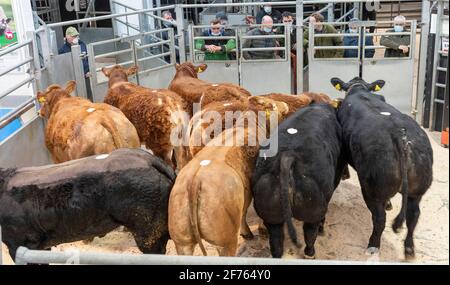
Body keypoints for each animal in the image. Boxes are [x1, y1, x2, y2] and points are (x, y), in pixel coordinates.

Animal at [253, 102, 344, 258]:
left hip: (269, 211)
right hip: (314, 208)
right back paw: (311, 252)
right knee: (310, 232)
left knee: (276, 240)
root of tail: (288, 155)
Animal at [330, 76, 432, 258]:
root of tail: (400, 135)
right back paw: (409, 249)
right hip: (418, 189)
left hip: (372, 188)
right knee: (413, 215)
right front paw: (389, 203)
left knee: (379, 218)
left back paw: (373, 245)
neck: (359, 90)